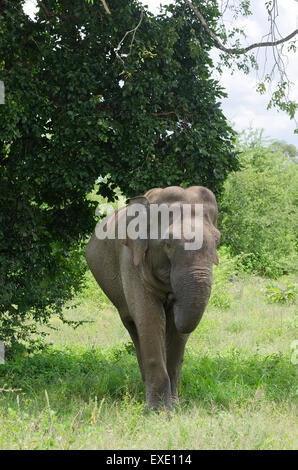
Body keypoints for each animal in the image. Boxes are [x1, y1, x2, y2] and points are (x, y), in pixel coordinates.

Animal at [85, 185, 220, 410]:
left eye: (218, 240)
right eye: (168, 242)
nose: (172, 298)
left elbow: (175, 331)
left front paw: (174, 405)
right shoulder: (130, 261)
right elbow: (149, 317)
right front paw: (159, 410)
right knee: (132, 325)